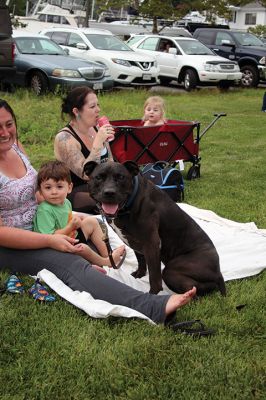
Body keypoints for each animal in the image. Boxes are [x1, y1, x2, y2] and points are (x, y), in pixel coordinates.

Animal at [84, 160, 225, 296]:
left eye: (121, 177)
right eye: (98, 177)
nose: (109, 192)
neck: (129, 204)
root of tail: (218, 271)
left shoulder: (151, 244)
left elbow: (154, 275)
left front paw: (153, 294)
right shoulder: (135, 241)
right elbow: (141, 261)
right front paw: (140, 274)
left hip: (172, 270)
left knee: (192, 289)